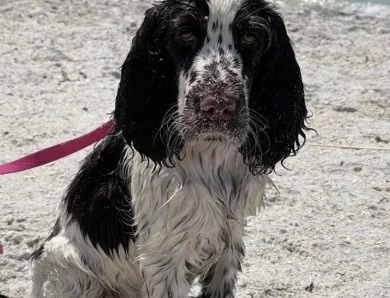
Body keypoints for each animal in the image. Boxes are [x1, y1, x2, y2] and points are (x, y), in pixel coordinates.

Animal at [29, 0, 308, 296]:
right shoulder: (166, 259)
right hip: (68, 271)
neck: (210, 157)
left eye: (251, 37)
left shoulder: (229, 239)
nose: (218, 105)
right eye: (184, 34)